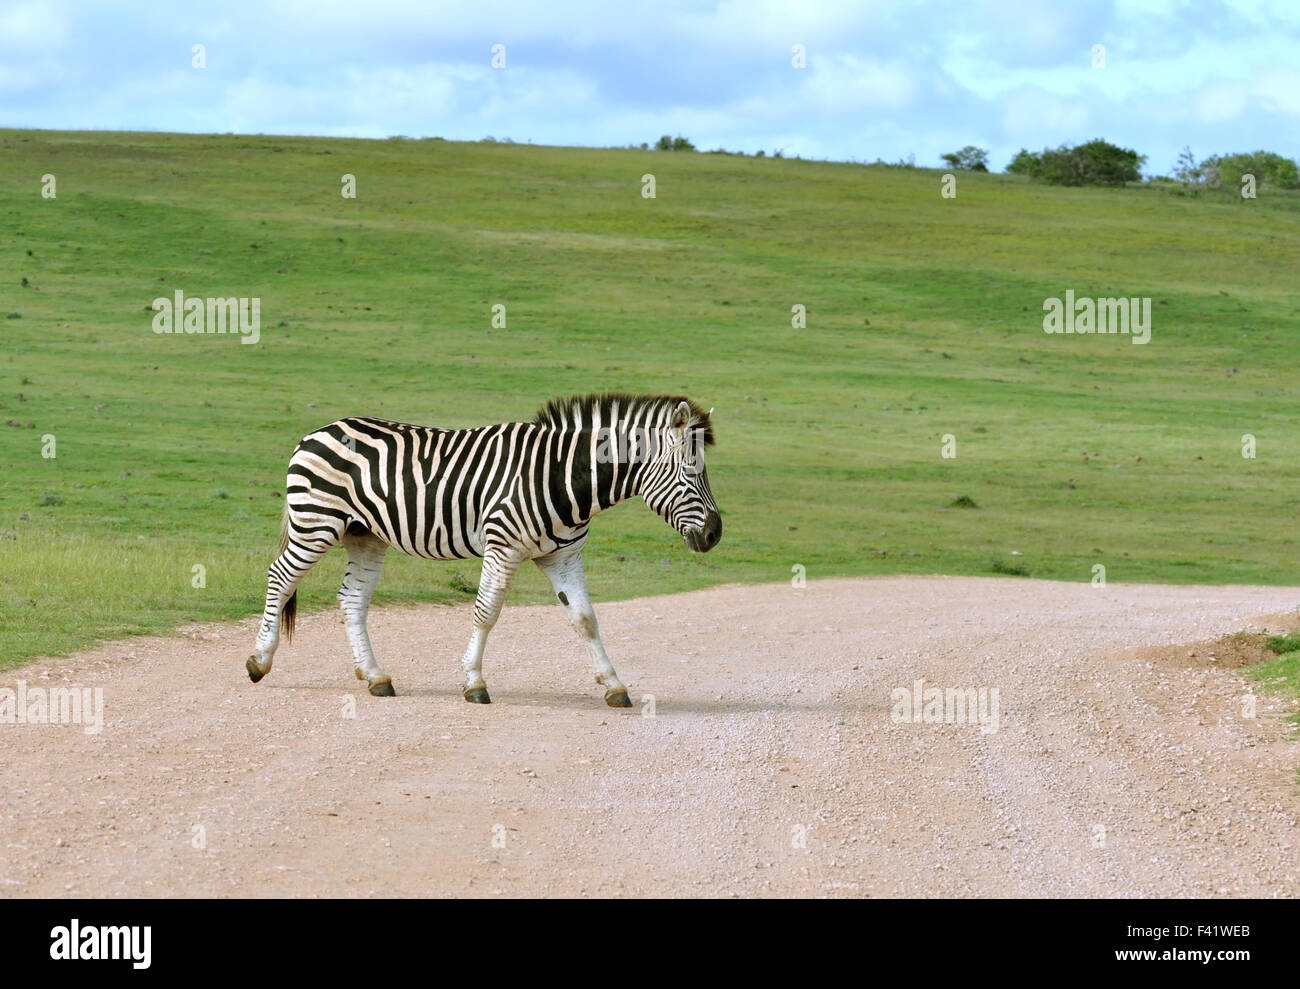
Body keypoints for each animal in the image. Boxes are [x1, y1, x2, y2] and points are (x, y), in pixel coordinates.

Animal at [245, 393, 721, 707]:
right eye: (689, 472)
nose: (716, 535)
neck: (563, 477)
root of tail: (317, 431)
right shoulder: (502, 546)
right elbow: (486, 613)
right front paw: (474, 683)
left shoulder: (563, 555)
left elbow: (585, 619)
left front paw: (614, 685)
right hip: (316, 523)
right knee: (280, 578)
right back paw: (259, 662)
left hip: (366, 536)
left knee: (351, 600)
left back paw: (375, 677)